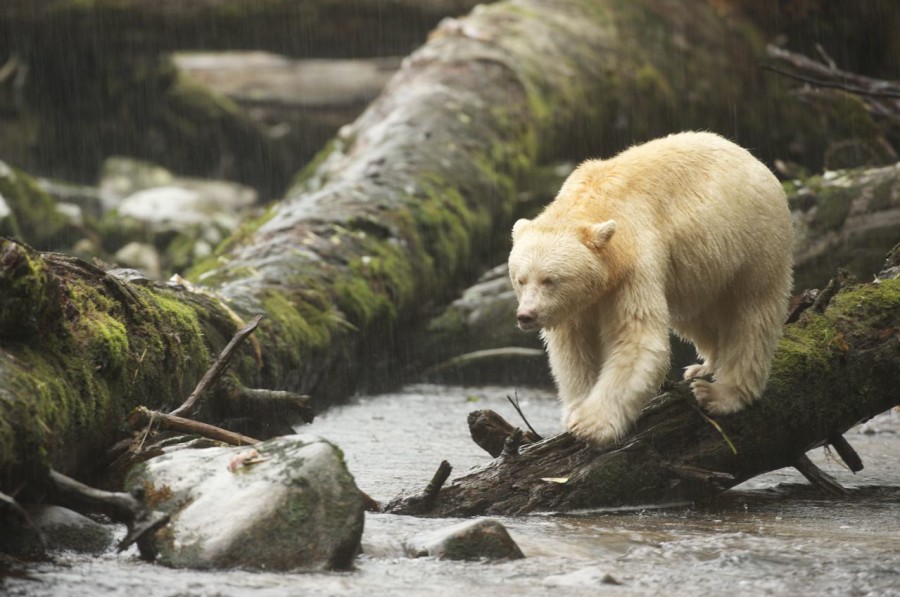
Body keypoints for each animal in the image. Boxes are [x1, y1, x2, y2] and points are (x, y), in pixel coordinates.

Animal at [507, 131, 793, 446]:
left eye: (550, 279)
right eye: (520, 279)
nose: (526, 316)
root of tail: (753, 158)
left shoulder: (635, 262)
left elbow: (637, 339)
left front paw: (591, 424)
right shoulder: (576, 305)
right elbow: (574, 349)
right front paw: (576, 408)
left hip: (755, 240)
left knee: (752, 315)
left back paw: (720, 394)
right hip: (698, 271)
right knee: (696, 317)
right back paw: (704, 366)